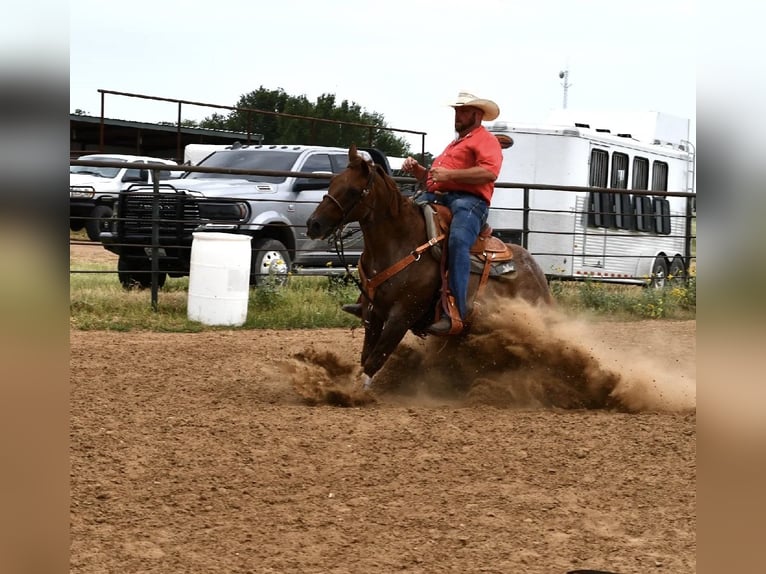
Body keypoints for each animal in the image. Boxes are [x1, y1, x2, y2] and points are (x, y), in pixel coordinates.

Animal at [306, 144, 553, 389]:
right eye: (332, 182)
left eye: (352, 191)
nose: (313, 224)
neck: (401, 243)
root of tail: (536, 273)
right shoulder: (371, 312)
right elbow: (366, 356)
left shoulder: (401, 316)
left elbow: (375, 360)